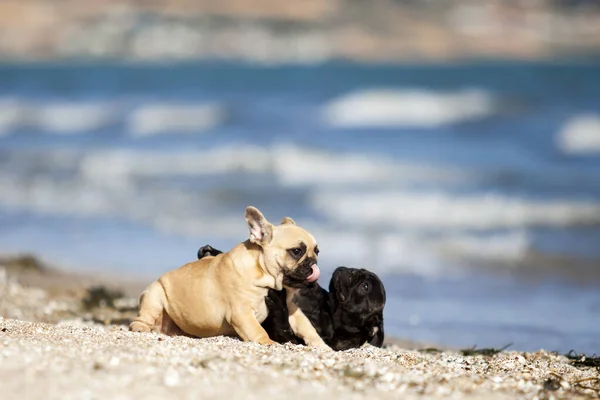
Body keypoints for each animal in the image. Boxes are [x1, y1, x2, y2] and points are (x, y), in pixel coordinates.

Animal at [197, 244, 384, 350]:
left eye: (365, 286)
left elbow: (284, 325)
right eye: (358, 270)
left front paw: (279, 302)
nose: (351, 271)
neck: (330, 313)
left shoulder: (293, 340)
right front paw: (213, 252)